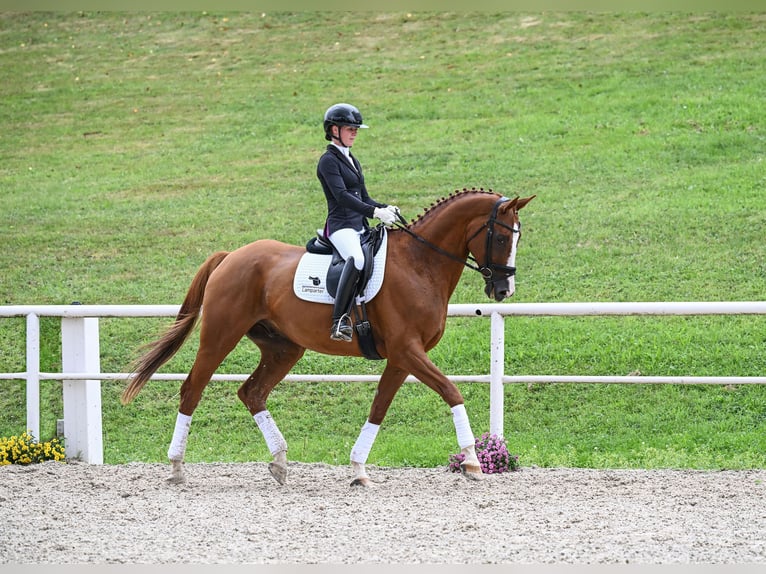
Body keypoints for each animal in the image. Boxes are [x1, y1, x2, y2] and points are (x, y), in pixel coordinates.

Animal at [123, 189, 536, 486]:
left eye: (518, 239)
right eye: (502, 238)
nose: (504, 290)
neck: (420, 264)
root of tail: (231, 256)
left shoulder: (401, 357)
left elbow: (379, 408)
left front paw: (358, 470)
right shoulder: (408, 350)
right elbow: (452, 391)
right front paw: (472, 461)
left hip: (284, 348)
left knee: (252, 392)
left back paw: (280, 463)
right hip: (220, 336)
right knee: (192, 389)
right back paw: (177, 467)